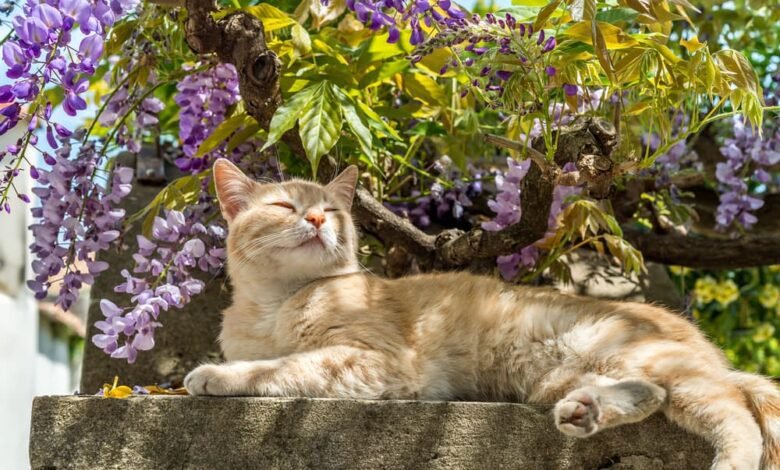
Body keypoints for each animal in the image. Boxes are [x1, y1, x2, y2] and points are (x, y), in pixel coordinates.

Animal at [184, 159, 780, 470]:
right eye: (285, 206)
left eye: (329, 210)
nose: (313, 219)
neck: (276, 304)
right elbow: (277, 361)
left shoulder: (376, 361)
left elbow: (282, 367)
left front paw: (214, 374)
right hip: (577, 374)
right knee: (652, 395)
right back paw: (585, 412)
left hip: (648, 359)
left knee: (736, 415)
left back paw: (729, 460)